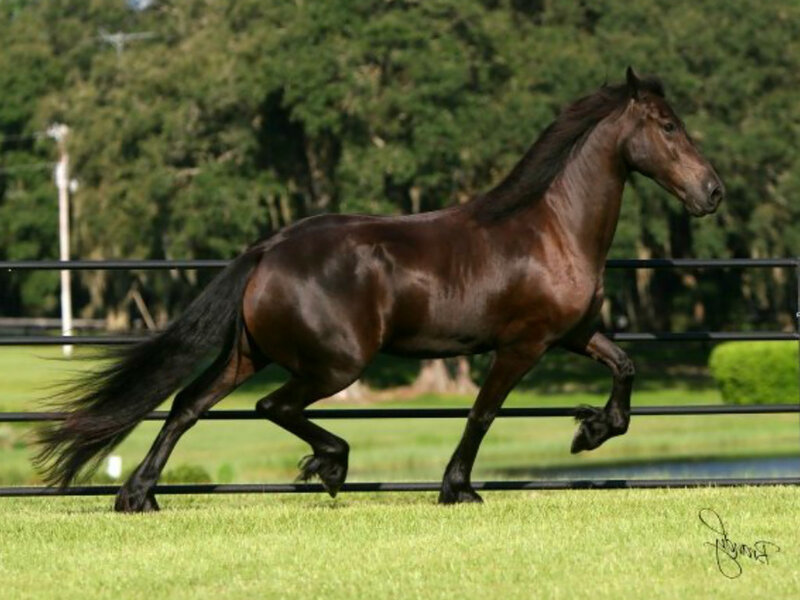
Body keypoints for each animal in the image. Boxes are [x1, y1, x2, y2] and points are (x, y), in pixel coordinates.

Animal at [35, 67, 724, 512]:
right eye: (667, 126)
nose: (712, 191)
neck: (551, 229)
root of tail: (269, 249)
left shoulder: (573, 334)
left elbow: (625, 368)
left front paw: (590, 431)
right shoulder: (523, 345)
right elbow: (483, 412)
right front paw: (458, 488)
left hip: (248, 354)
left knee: (187, 405)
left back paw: (138, 496)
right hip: (336, 363)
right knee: (272, 407)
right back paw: (331, 465)